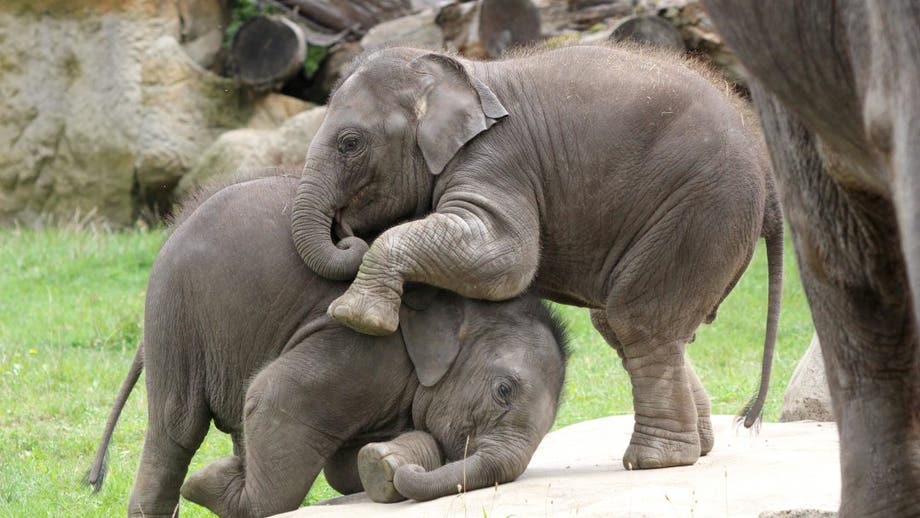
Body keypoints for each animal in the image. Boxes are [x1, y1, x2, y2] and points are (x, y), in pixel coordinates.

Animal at [84, 173, 568, 517]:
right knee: (176, 427)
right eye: (503, 391)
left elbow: (343, 467)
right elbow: (276, 401)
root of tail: (178, 221)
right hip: (176, 310)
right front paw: (210, 480)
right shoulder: (360, 345)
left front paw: (385, 462)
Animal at [289, 44, 784, 470]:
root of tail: (767, 170)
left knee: (638, 321)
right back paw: (697, 448)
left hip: (702, 208)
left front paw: (356, 316)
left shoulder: (497, 159)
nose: (347, 236)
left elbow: (506, 258)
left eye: (350, 143)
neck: (459, 71)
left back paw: (655, 461)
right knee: (626, 325)